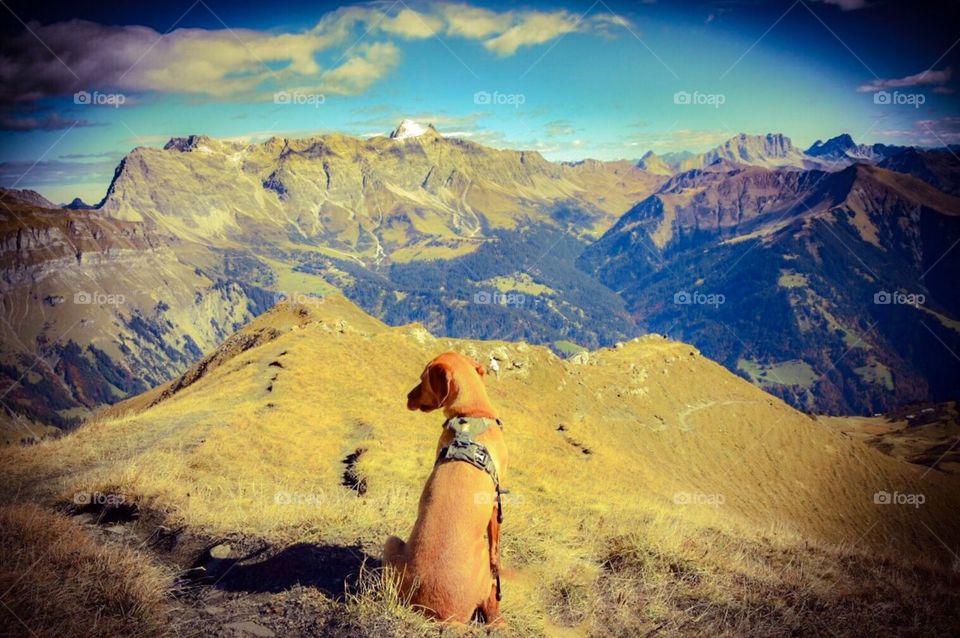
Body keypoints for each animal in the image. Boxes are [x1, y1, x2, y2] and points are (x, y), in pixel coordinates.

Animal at [384, 352, 510, 628]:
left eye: (422, 379)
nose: (407, 397)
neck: (471, 413)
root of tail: (442, 617)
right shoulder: (495, 501)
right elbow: (496, 547)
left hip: (391, 544)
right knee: (491, 603)